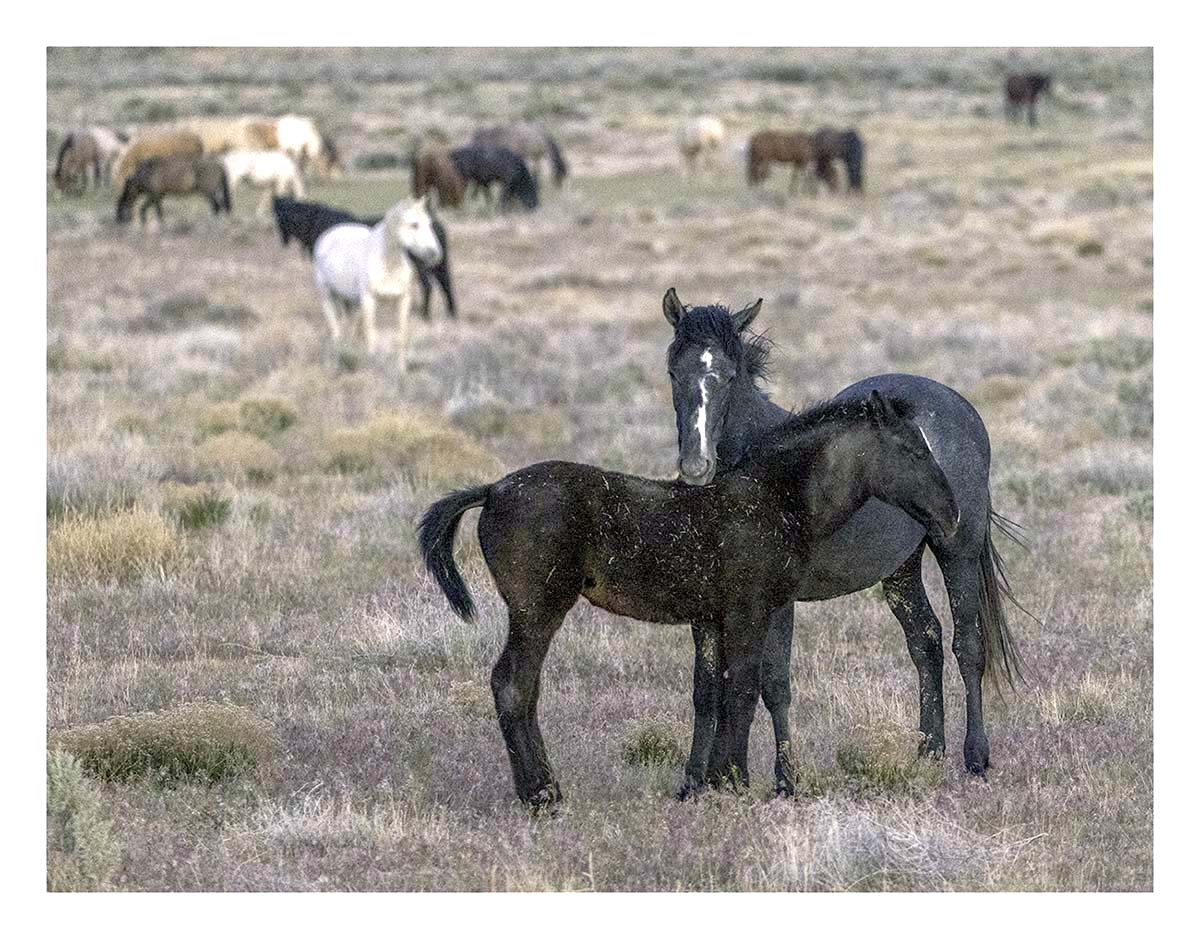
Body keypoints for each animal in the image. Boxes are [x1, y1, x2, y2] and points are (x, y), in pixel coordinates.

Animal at [273, 196, 457, 322]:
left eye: (282, 218)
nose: (282, 240)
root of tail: (438, 224)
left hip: (423, 265)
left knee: (428, 286)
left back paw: (425, 315)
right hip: (440, 263)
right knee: (447, 284)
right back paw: (451, 314)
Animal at [311, 197, 444, 372]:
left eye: (429, 223)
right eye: (414, 224)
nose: (435, 254)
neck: (388, 263)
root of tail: (328, 235)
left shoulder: (403, 300)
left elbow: (401, 335)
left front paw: (401, 371)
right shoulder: (369, 300)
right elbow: (371, 335)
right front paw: (371, 370)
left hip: (351, 301)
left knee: (345, 329)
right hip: (328, 296)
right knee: (335, 330)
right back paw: (332, 364)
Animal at [419, 389, 960, 809]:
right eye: (912, 450)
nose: (951, 516)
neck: (773, 499)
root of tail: (493, 490)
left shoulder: (717, 617)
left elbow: (718, 692)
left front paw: (710, 782)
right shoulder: (748, 610)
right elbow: (741, 691)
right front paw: (731, 782)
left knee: (521, 688)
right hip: (537, 610)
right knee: (513, 685)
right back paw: (541, 795)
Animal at [661, 288, 1027, 793]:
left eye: (729, 375)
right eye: (673, 371)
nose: (697, 467)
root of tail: (961, 407)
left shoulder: (776, 601)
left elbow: (769, 683)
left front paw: (779, 781)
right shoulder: (710, 601)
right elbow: (708, 686)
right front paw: (697, 782)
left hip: (958, 550)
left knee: (967, 646)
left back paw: (975, 756)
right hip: (900, 568)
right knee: (926, 642)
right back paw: (928, 752)